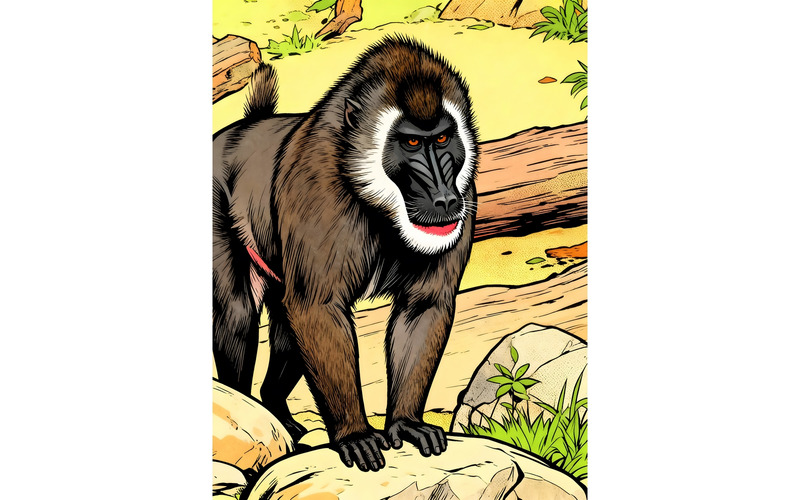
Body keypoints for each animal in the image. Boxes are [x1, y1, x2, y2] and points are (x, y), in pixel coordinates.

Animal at [212, 36, 478, 472]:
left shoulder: (466, 196)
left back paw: (277, 410)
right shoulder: (319, 188)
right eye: (410, 142)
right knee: (236, 314)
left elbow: (422, 307)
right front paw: (354, 434)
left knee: (286, 331)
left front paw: (406, 424)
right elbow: (318, 307)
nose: (443, 198)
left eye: (442, 139)